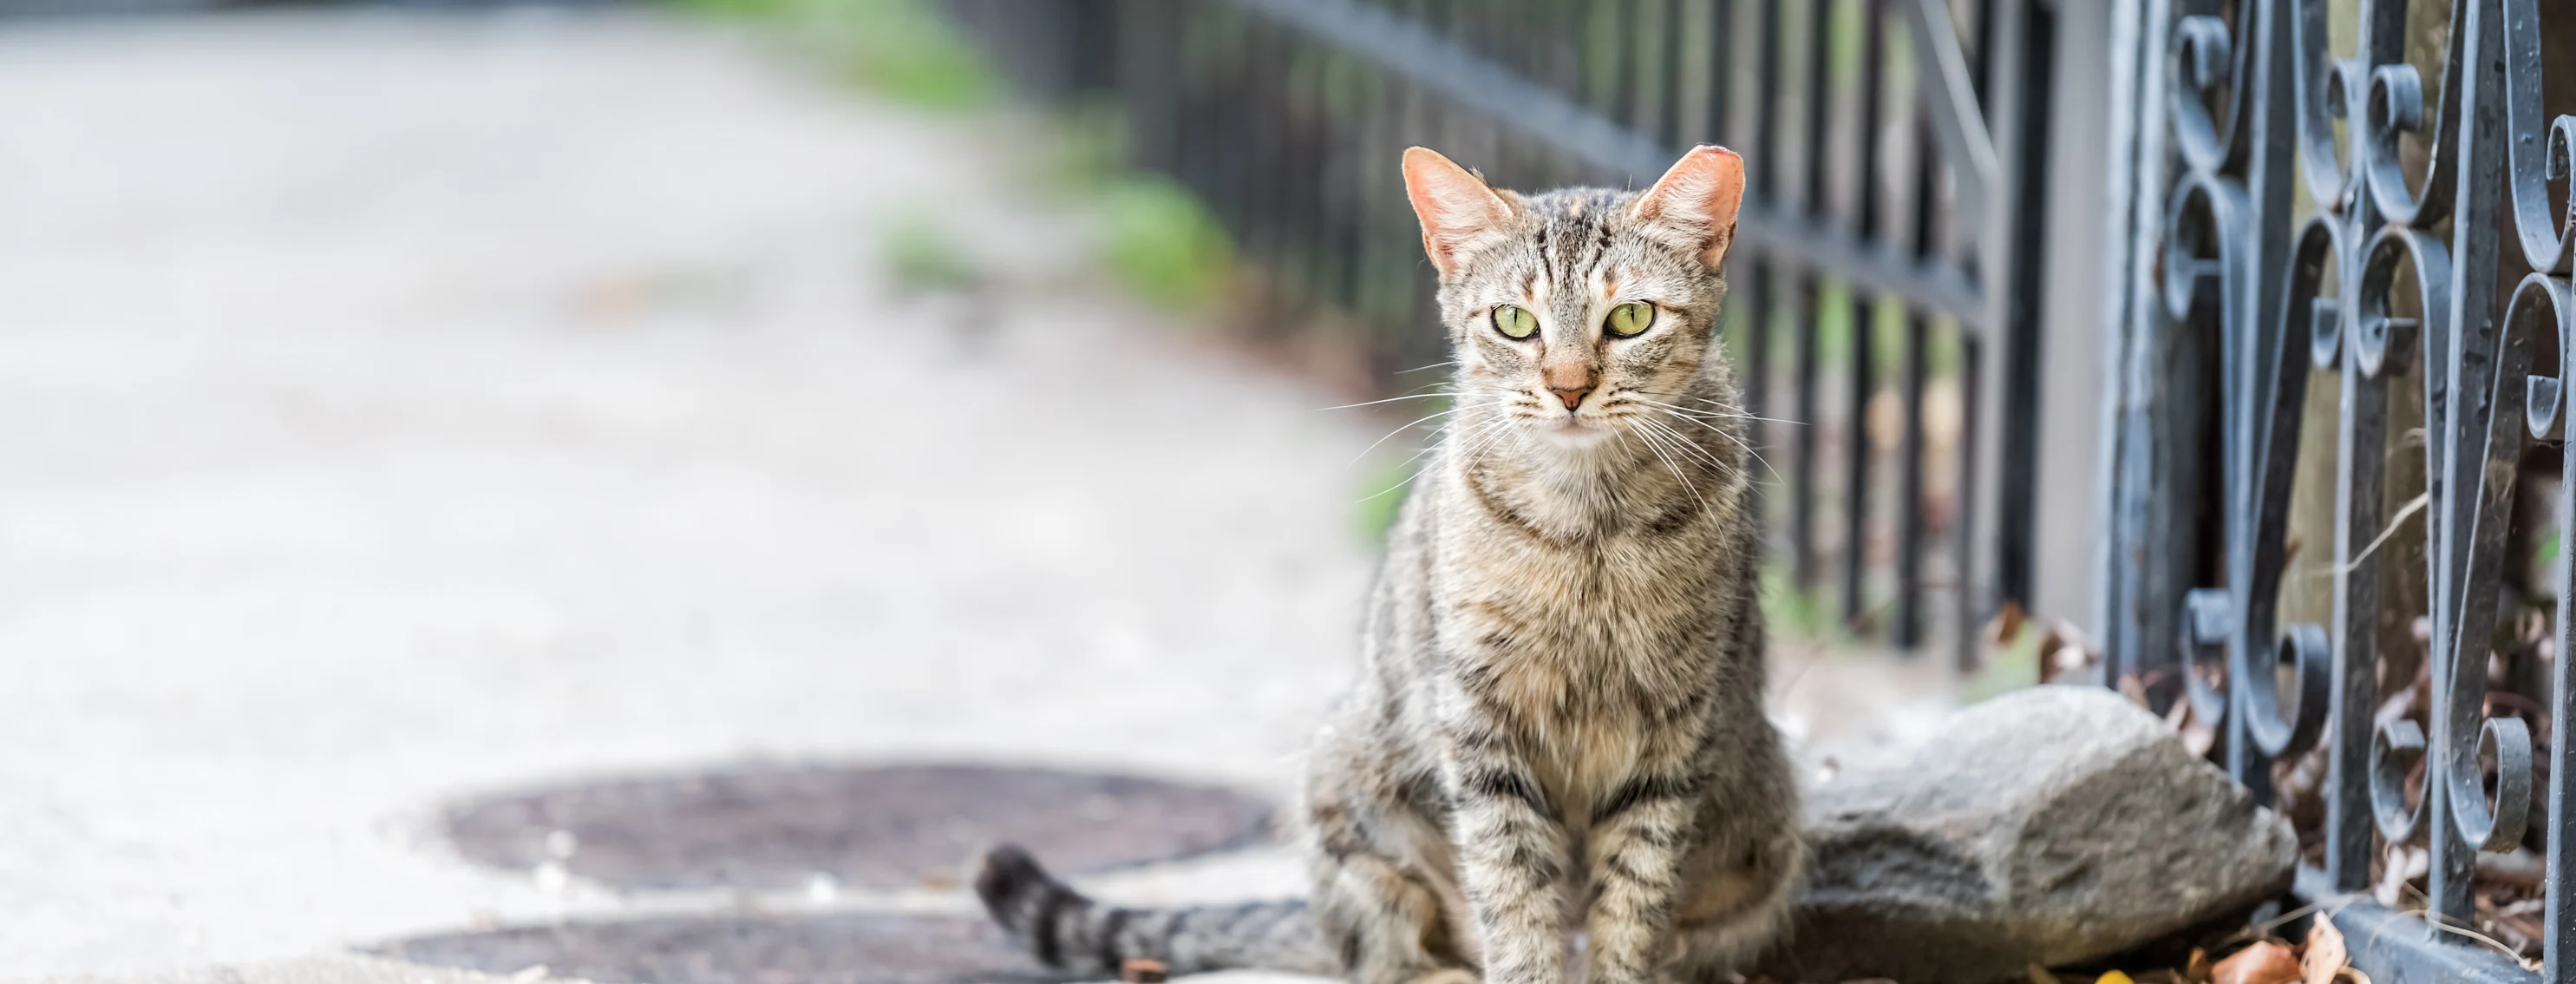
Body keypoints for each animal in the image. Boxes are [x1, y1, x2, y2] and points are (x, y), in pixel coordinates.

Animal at [973, 146, 1803, 984]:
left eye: (1631, 318)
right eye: (1515, 322)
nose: (1569, 389)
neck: (1587, 528)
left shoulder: (1675, 729)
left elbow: (1634, 898)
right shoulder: (1479, 722)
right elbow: (1512, 892)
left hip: (1770, 819)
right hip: (1349, 788)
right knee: (1389, 948)